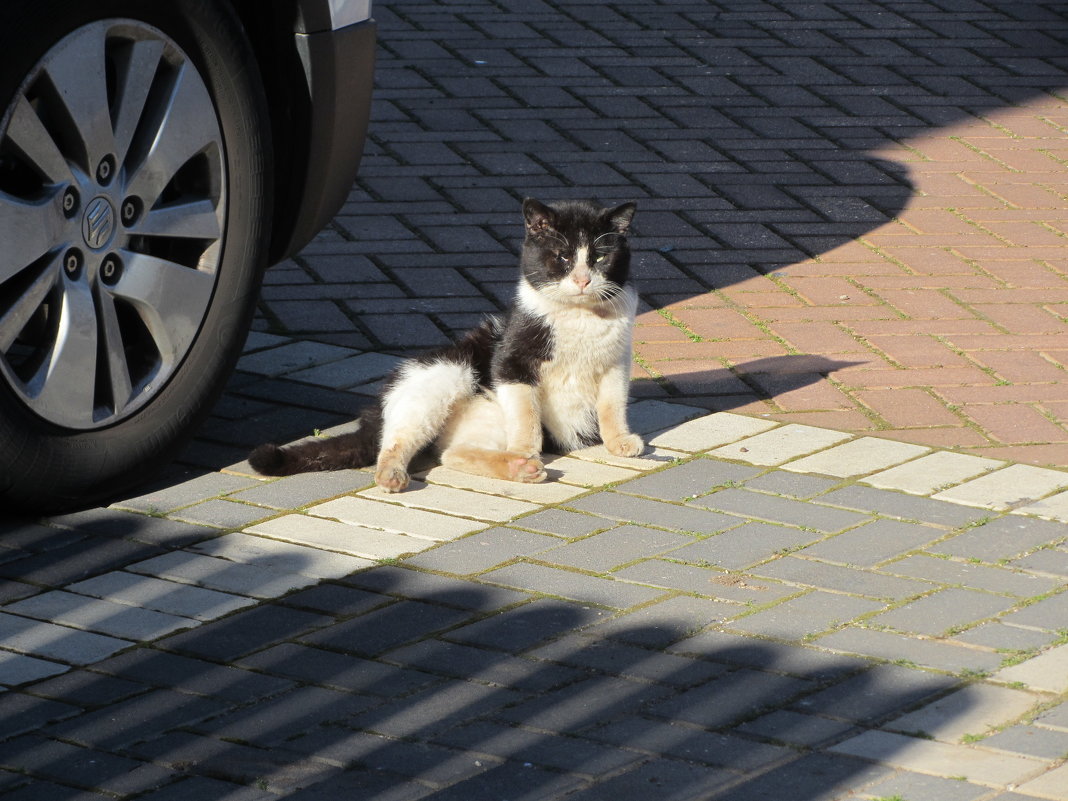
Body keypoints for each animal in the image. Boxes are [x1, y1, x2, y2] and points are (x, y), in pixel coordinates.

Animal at [249, 197, 640, 493]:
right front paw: (528, 451)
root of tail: (375, 408)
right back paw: (396, 475)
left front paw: (620, 441)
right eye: (562, 256)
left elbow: (611, 407)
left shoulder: (616, 366)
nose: (583, 279)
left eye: (600, 257)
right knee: (395, 441)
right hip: (445, 376)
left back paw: (519, 469)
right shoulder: (511, 363)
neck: (580, 317)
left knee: (453, 453)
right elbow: (527, 416)